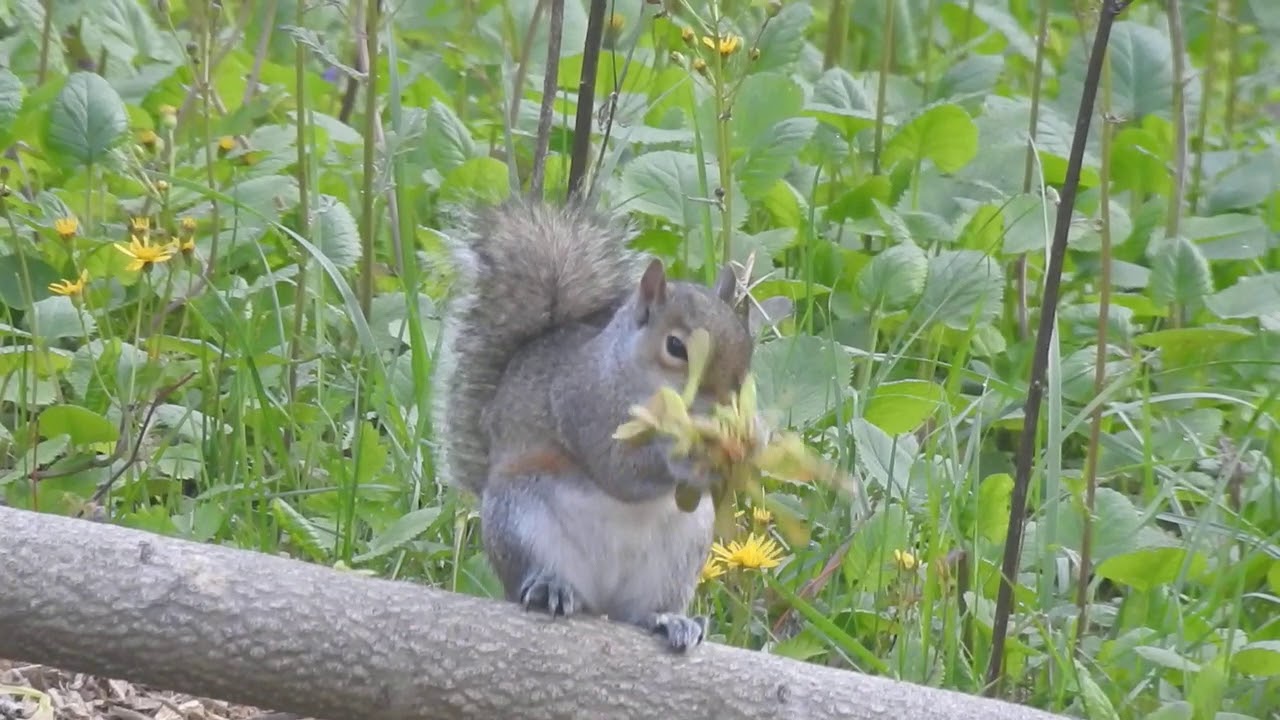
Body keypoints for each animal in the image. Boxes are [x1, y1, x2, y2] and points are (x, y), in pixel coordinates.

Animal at [431, 198, 789, 652]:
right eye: (676, 346)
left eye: (747, 348)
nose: (727, 406)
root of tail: (601, 600)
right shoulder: (585, 407)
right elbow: (618, 470)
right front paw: (688, 455)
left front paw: (756, 436)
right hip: (520, 520)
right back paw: (550, 587)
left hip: (678, 555)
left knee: (642, 611)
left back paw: (669, 619)